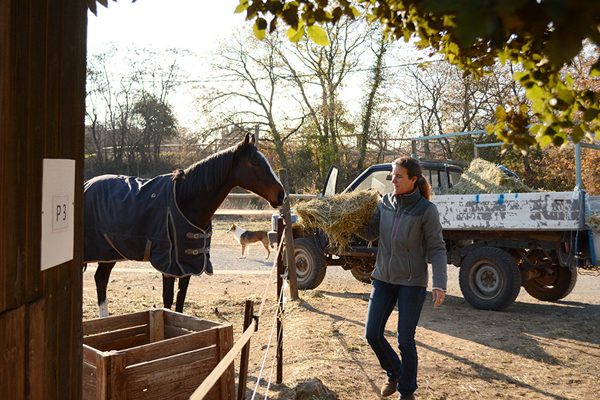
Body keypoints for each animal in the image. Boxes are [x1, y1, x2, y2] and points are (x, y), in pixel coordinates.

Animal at [82, 133, 286, 318]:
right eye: (255, 162)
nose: (281, 194)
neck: (184, 200)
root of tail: (86, 184)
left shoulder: (188, 264)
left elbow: (180, 299)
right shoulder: (168, 264)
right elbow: (168, 298)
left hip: (110, 253)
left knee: (101, 279)